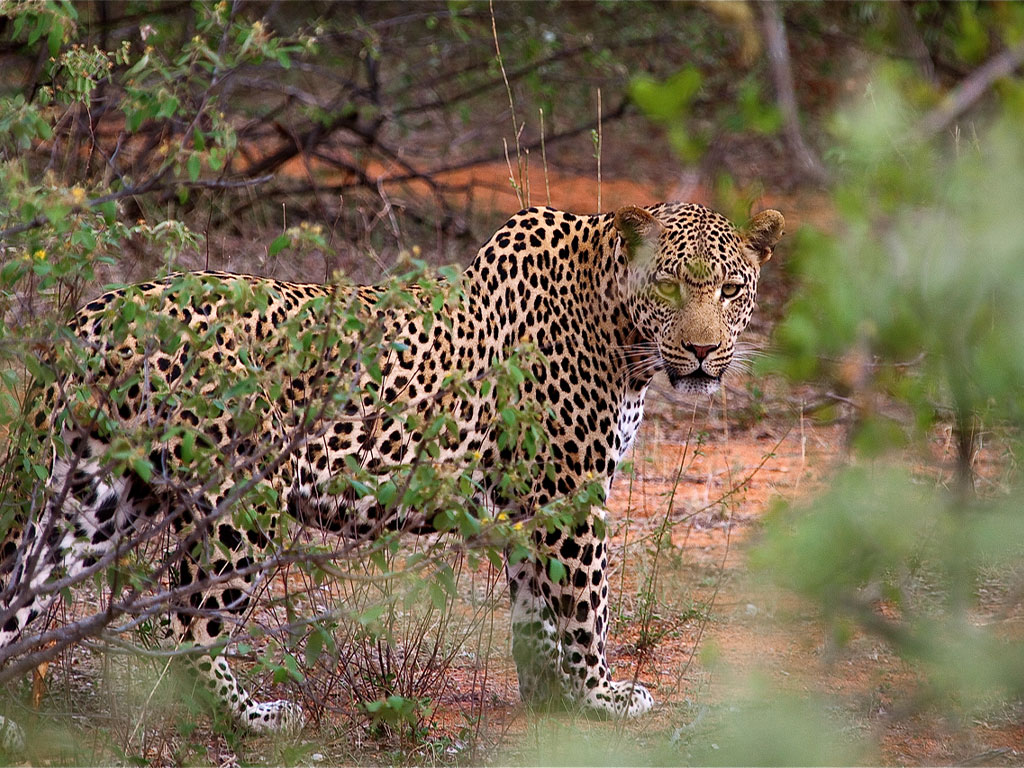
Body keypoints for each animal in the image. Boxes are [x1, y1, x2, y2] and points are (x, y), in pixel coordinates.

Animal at [0, 201, 782, 749]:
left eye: (731, 288)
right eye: (671, 286)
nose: (703, 352)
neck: (618, 325)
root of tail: (99, 312)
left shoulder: (530, 501)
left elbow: (535, 609)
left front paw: (553, 700)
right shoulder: (568, 494)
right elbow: (586, 607)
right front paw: (602, 697)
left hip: (90, 498)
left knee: (26, 596)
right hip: (241, 503)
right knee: (182, 628)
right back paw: (255, 720)